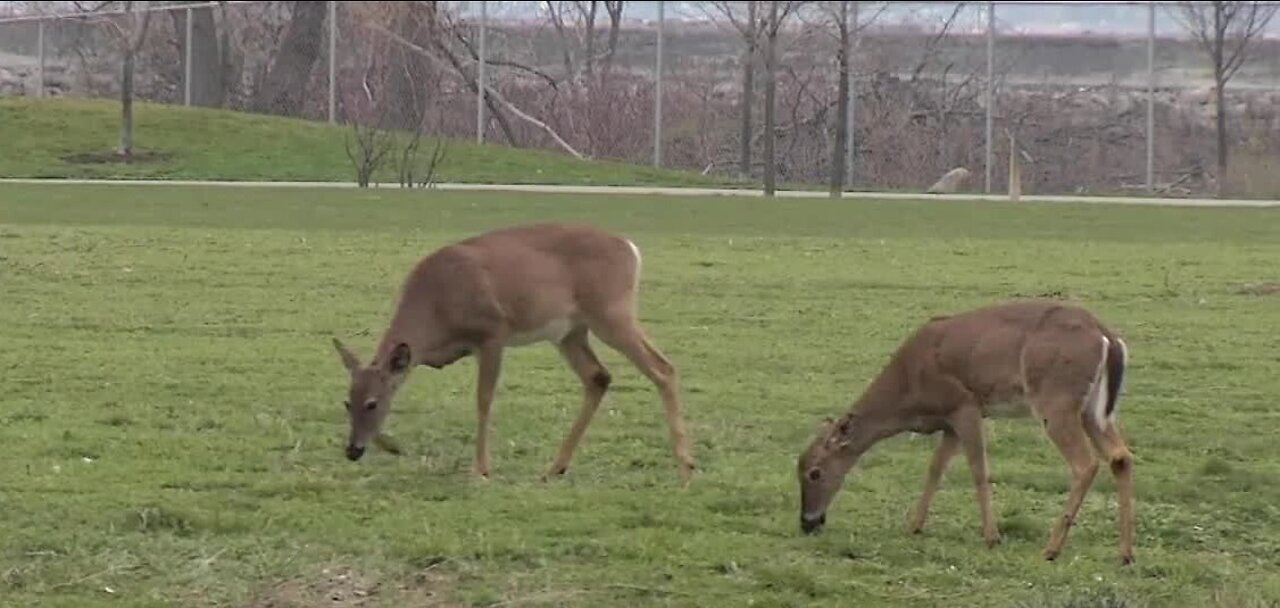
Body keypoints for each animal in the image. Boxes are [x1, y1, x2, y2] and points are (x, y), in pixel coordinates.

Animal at [325, 222, 696, 486]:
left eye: (372, 404)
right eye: (347, 402)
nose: (352, 451)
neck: (437, 309)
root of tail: (631, 249)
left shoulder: (492, 333)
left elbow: (483, 400)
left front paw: (480, 469)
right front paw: (394, 447)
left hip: (610, 312)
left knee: (663, 368)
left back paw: (686, 466)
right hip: (571, 331)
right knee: (599, 376)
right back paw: (553, 468)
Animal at [793, 299, 1136, 565]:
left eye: (814, 472)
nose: (807, 523)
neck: (909, 390)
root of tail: (1107, 336)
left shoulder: (965, 405)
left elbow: (978, 470)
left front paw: (992, 536)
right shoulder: (950, 422)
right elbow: (935, 469)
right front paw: (914, 526)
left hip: (1056, 399)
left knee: (1085, 463)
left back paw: (1051, 549)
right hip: (1094, 410)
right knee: (1121, 457)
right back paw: (1125, 554)